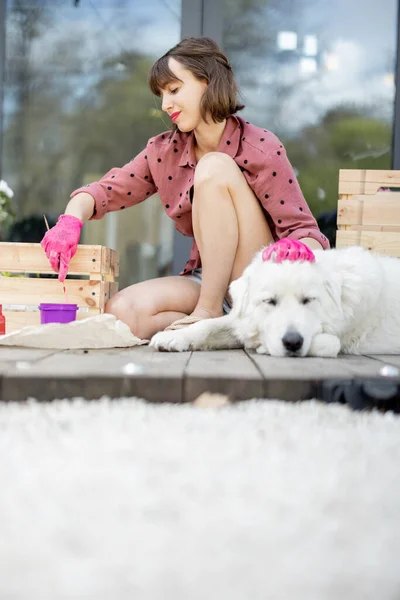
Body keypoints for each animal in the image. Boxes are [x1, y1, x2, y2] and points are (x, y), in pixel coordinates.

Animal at [148, 247, 400, 358]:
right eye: (270, 301)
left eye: (308, 300)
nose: (293, 342)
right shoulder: (243, 321)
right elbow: (206, 326)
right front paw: (173, 337)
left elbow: (328, 343)